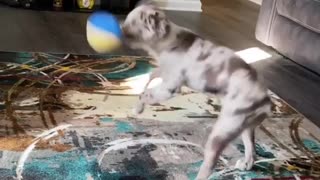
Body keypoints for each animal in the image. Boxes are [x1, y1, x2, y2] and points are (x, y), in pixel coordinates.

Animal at [121, 1, 272, 179]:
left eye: (131, 25)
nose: (120, 31)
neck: (168, 41)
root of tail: (265, 101)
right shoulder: (163, 73)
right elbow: (150, 77)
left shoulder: (170, 87)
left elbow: (146, 94)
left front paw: (138, 108)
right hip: (246, 128)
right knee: (251, 150)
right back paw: (245, 164)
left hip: (222, 132)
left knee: (209, 165)